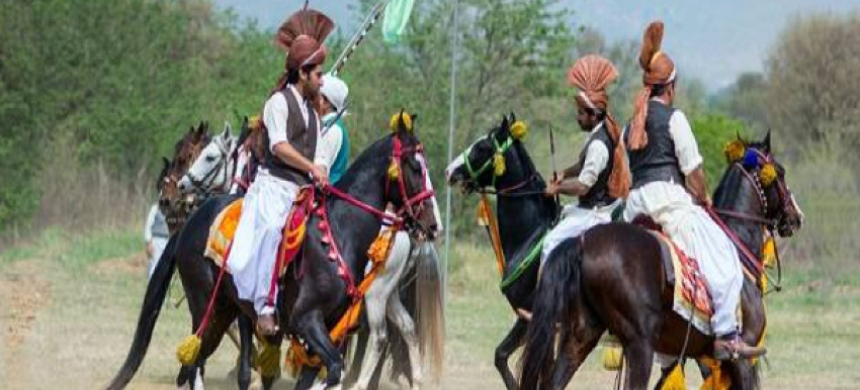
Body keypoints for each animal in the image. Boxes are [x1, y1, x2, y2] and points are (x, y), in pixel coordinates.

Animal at [107, 118, 440, 390]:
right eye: (415, 167)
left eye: (205, 156)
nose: (433, 221)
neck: (338, 230)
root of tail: (193, 222)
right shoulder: (301, 321)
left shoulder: (321, 327)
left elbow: (324, 370)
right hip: (208, 305)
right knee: (195, 362)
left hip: (375, 294)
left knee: (384, 336)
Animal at [516, 132, 808, 390]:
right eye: (780, 172)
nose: (796, 217)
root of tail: (582, 242)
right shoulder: (740, 360)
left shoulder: (688, 358)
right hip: (639, 345)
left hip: (582, 335)